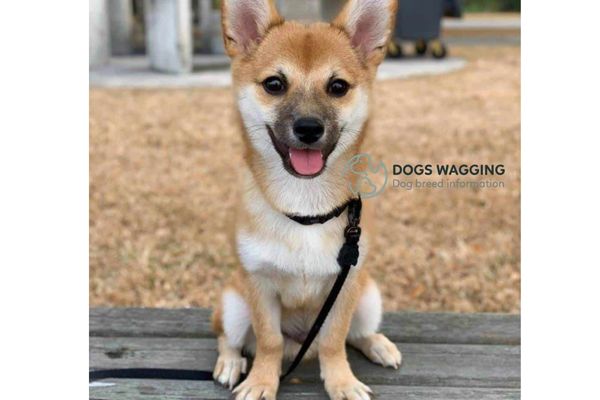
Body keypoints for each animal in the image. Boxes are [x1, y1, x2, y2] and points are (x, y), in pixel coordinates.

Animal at [213, 1, 400, 398]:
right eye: (274, 84)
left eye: (338, 87)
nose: (309, 128)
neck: (306, 208)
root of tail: (300, 344)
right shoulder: (259, 285)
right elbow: (268, 342)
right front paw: (261, 382)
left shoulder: (346, 285)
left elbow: (334, 340)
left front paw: (341, 381)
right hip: (234, 304)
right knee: (228, 337)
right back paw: (231, 362)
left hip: (369, 297)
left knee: (356, 335)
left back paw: (378, 344)